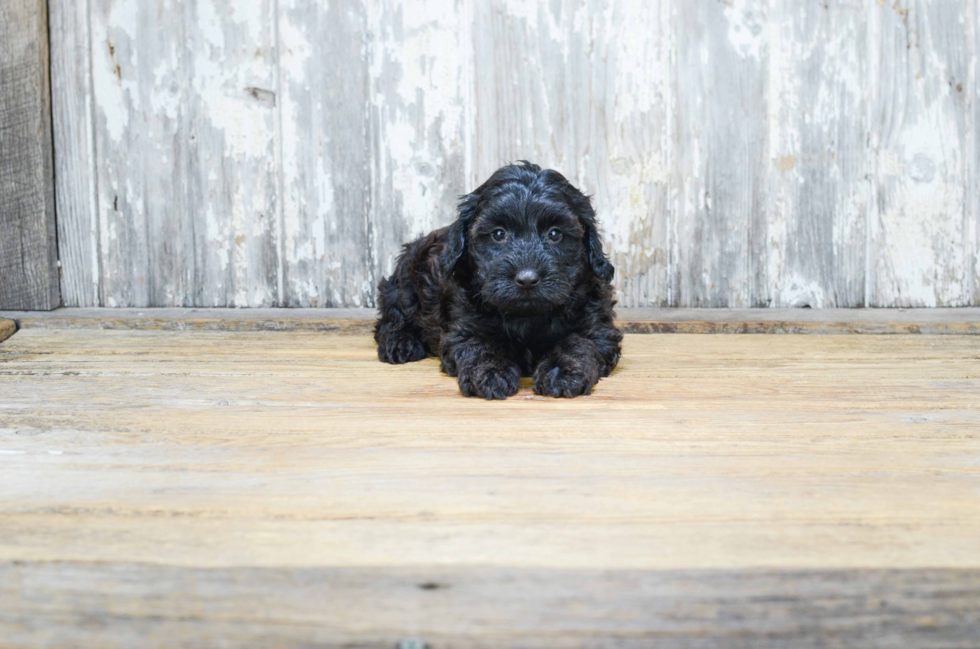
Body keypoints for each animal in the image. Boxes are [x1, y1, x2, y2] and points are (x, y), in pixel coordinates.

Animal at [376, 161, 620, 400]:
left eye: (555, 234)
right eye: (499, 234)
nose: (527, 279)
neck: (527, 316)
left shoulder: (597, 327)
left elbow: (578, 341)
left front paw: (562, 371)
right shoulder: (463, 327)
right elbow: (478, 345)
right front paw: (490, 373)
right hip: (405, 284)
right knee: (391, 319)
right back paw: (399, 343)